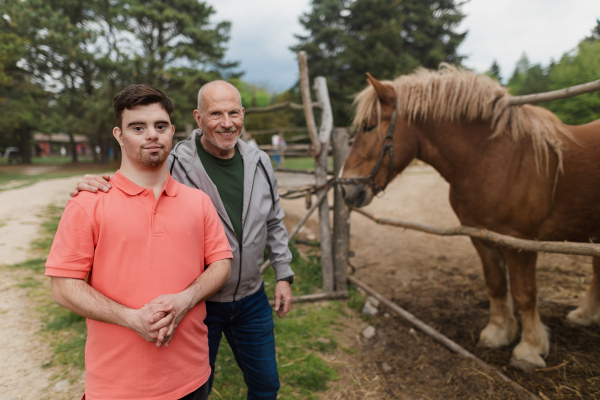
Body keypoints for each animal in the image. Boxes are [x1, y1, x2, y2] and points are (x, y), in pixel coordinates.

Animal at [340, 64, 600, 374]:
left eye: (368, 126)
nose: (346, 189)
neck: (494, 158)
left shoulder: (519, 243)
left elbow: (525, 293)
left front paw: (529, 348)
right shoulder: (480, 236)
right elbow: (496, 284)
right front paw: (498, 333)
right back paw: (584, 315)